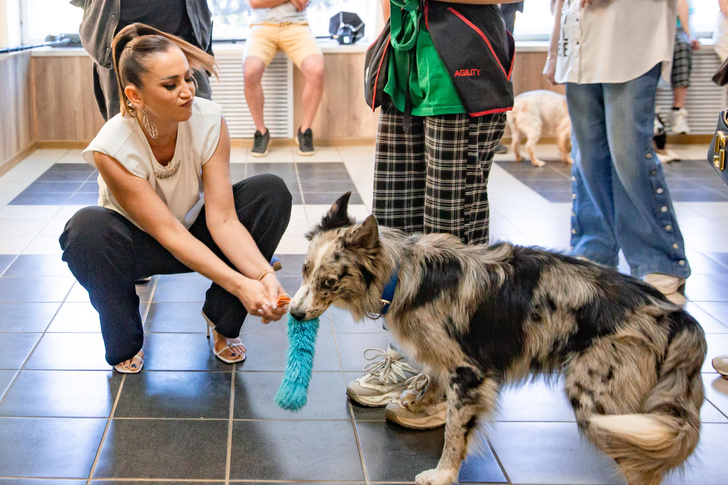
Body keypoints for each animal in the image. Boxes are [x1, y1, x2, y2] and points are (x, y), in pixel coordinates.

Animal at [288, 192, 704, 484]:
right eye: (305, 269)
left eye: (329, 282)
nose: (293, 313)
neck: (404, 275)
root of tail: (677, 315)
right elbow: (436, 383)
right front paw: (420, 402)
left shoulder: (470, 372)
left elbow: (456, 432)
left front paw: (443, 473)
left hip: (604, 404)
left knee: (645, 466)